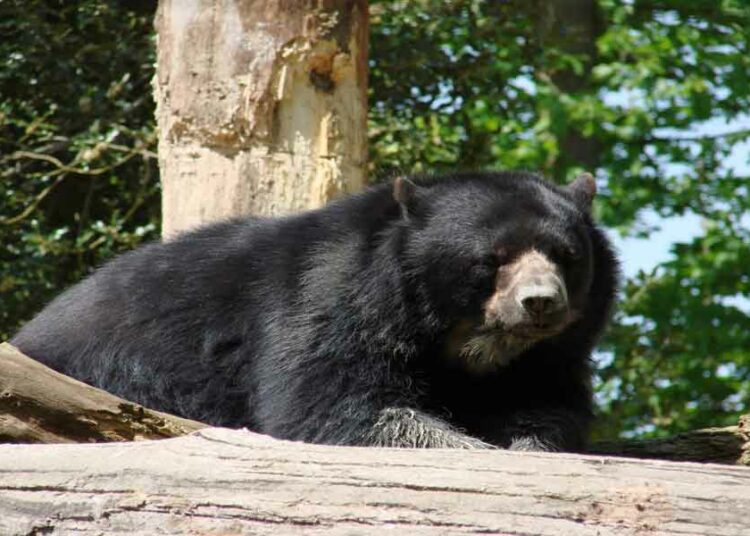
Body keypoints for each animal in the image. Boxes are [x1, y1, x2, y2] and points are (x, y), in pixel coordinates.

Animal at [12, 171, 618, 451]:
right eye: (491, 259)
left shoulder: (549, 357)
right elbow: (335, 407)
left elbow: (547, 405)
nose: (541, 304)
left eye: (567, 257)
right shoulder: (328, 303)